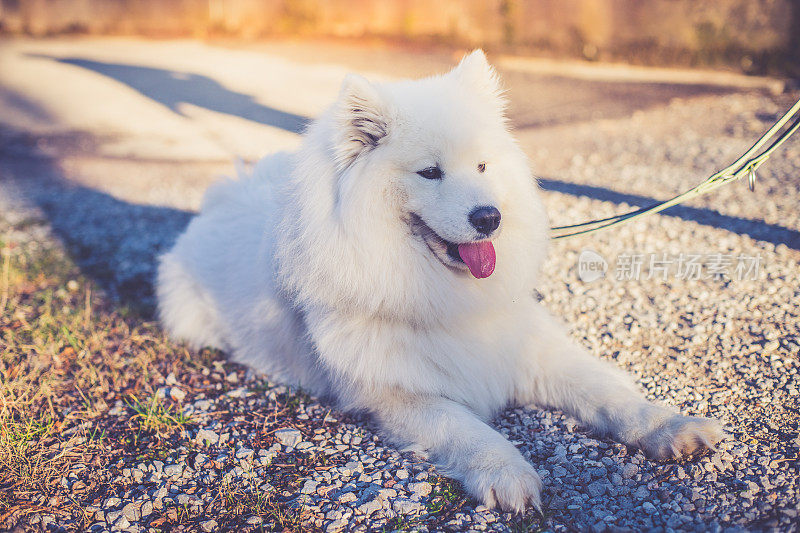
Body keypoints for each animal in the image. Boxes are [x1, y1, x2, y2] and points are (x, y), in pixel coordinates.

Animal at [156, 51, 724, 512]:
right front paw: (509, 476)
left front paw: (671, 427)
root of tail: (224, 197)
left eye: (483, 166)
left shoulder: (532, 350)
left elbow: (610, 392)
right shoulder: (399, 394)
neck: (445, 293)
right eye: (430, 173)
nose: (489, 218)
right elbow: (468, 429)